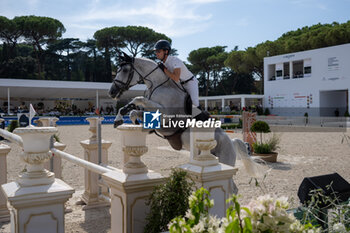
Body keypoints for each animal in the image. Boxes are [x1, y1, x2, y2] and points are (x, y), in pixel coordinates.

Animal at [108, 53, 262, 177]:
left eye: (125, 70)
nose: (112, 92)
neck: (159, 86)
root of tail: (232, 142)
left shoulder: (166, 116)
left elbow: (138, 98)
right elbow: (135, 110)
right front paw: (122, 119)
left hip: (225, 160)